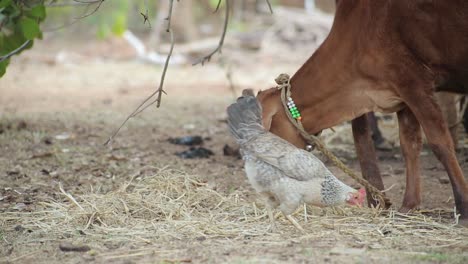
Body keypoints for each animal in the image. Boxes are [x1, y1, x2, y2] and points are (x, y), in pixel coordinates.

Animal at [256, 0, 468, 223]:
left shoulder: (413, 82)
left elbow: (440, 144)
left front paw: (463, 206)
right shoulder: (401, 94)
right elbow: (410, 145)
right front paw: (409, 205)